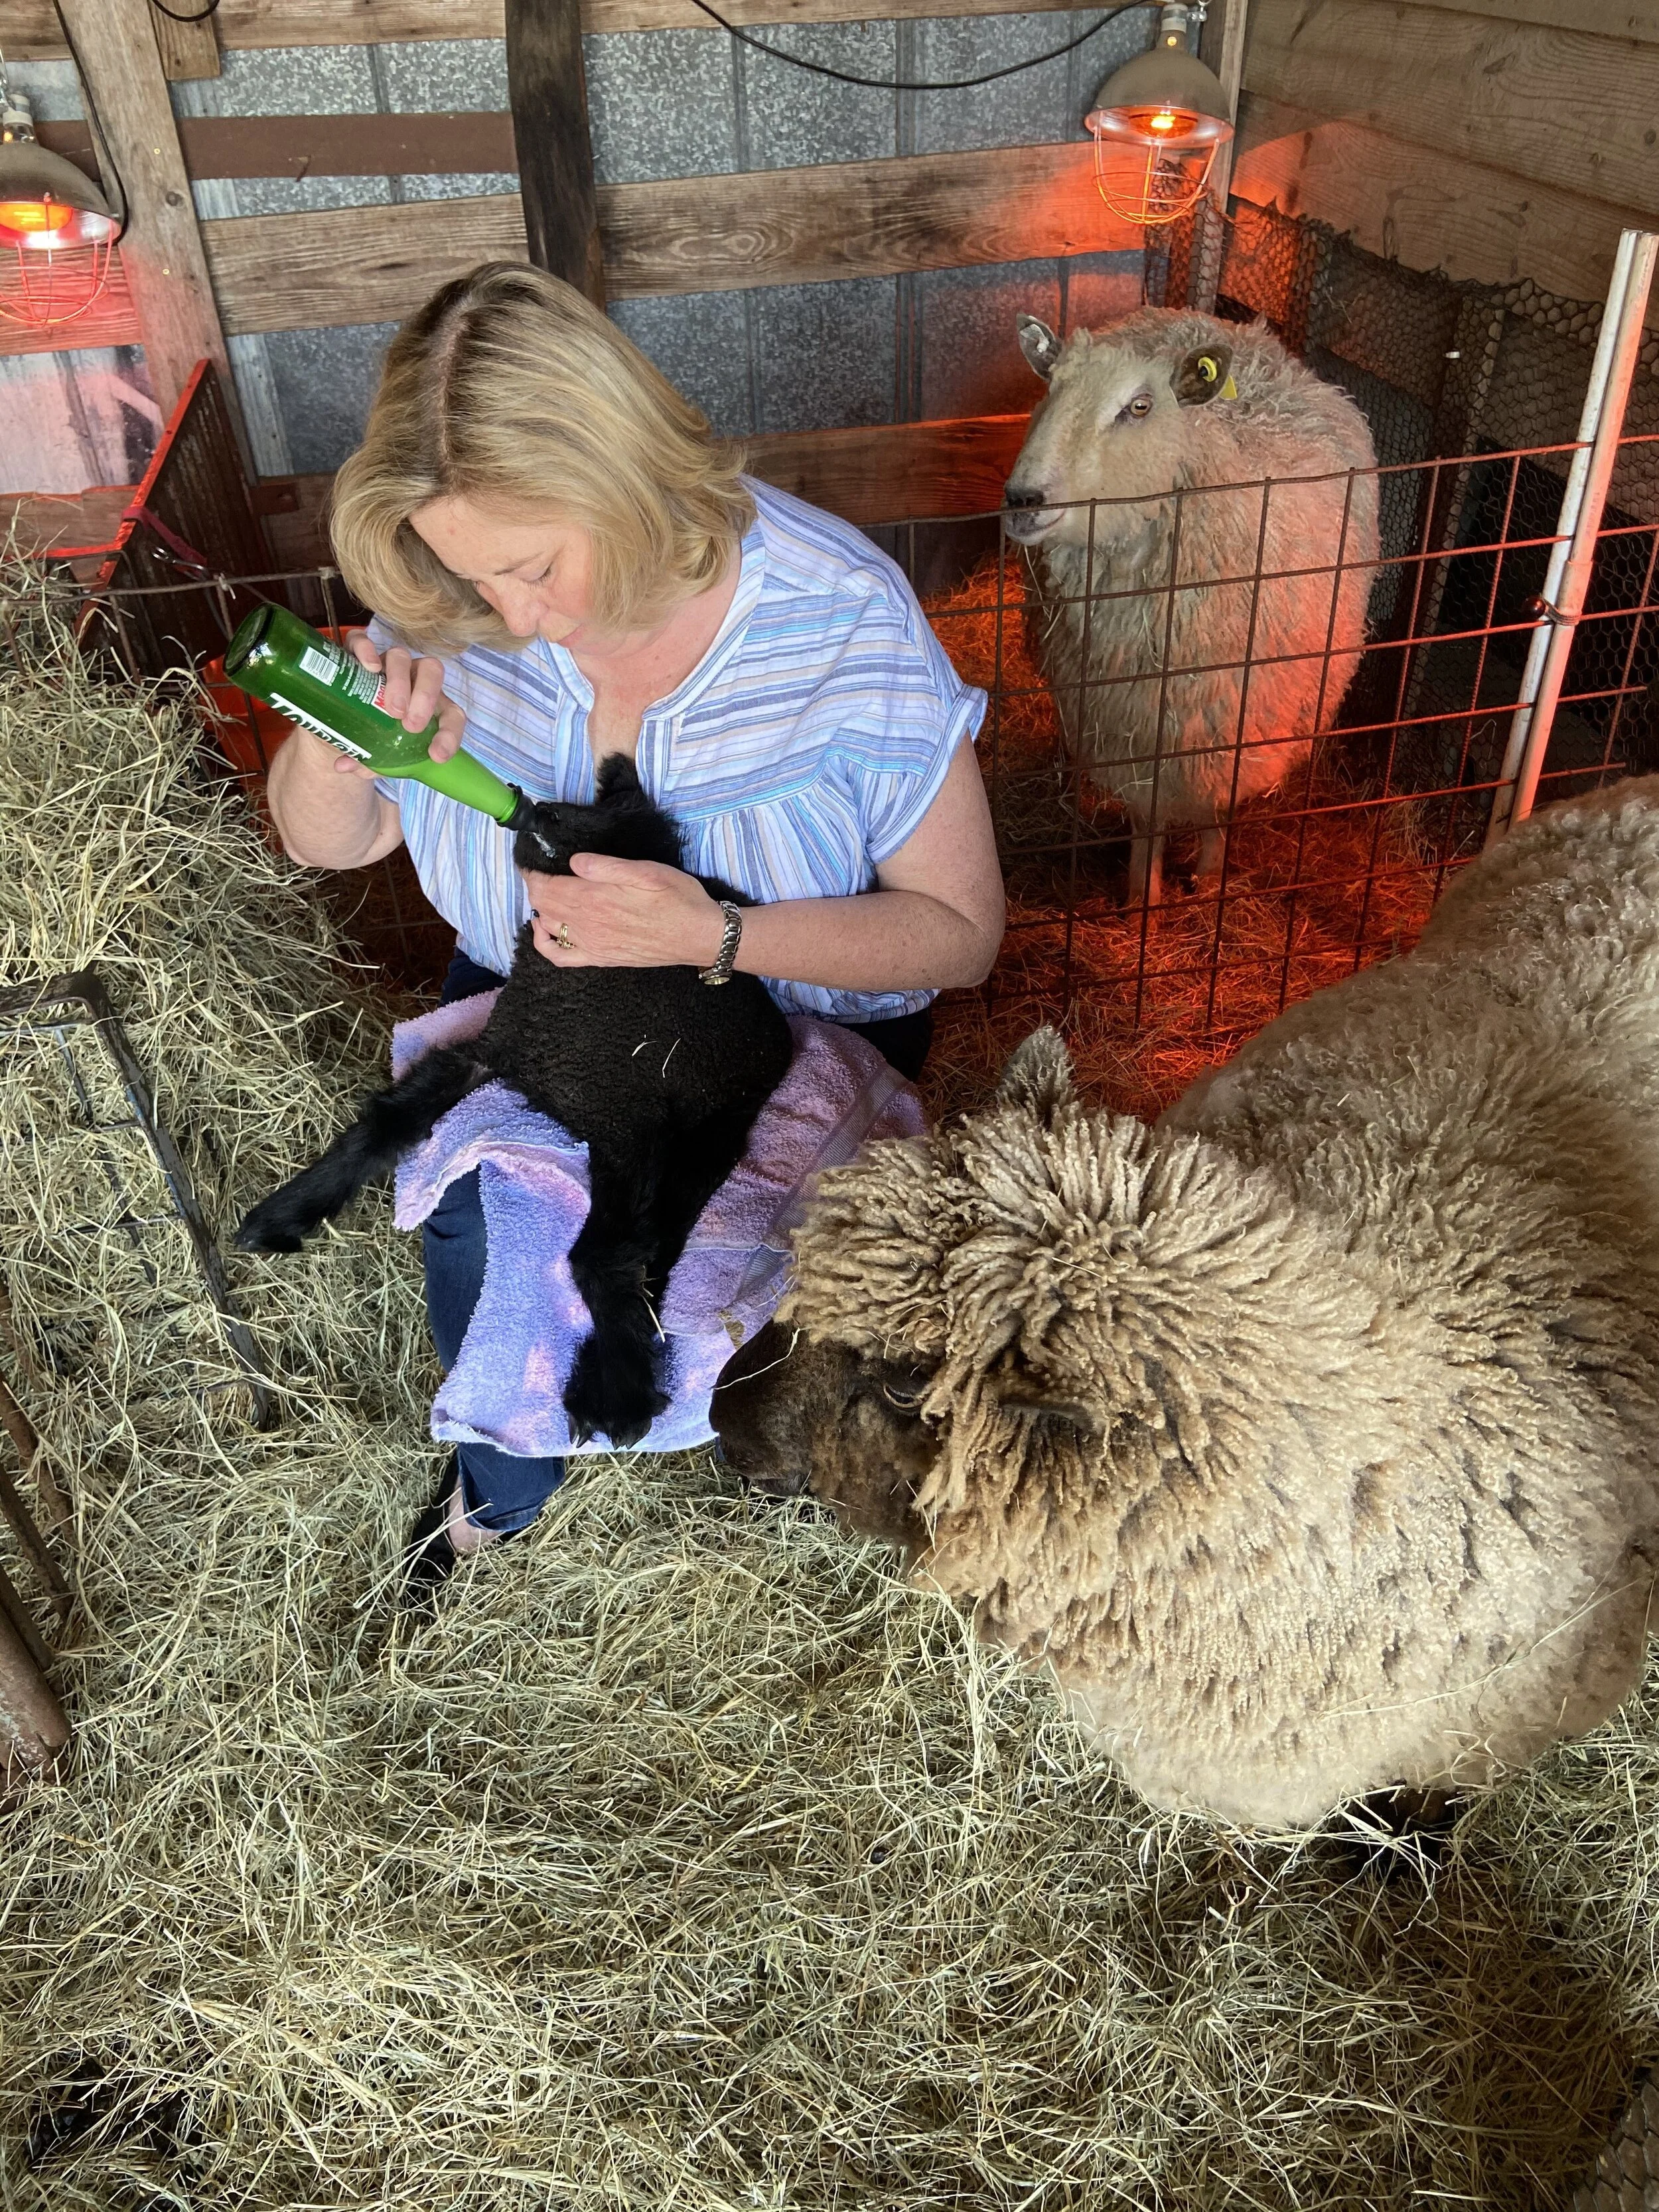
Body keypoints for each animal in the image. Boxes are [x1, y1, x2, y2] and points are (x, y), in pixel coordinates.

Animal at [237, 754, 794, 1449]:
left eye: (625, 836)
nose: (543, 811)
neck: (570, 1001)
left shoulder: (630, 1125)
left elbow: (600, 1259)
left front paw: (620, 1398)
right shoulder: (496, 1052)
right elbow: (386, 1122)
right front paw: (283, 1214)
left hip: (710, 1132)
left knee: (661, 1239)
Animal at [1004, 306, 1381, 906]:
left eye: (1139, 406)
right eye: (1050, 388)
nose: (1022, 499)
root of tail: (1227, 325)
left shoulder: (1231, 719)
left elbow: (1218, 805)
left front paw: (1209, 879)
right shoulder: (1120, 722)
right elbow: (1146, 816)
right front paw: (1143, 895)